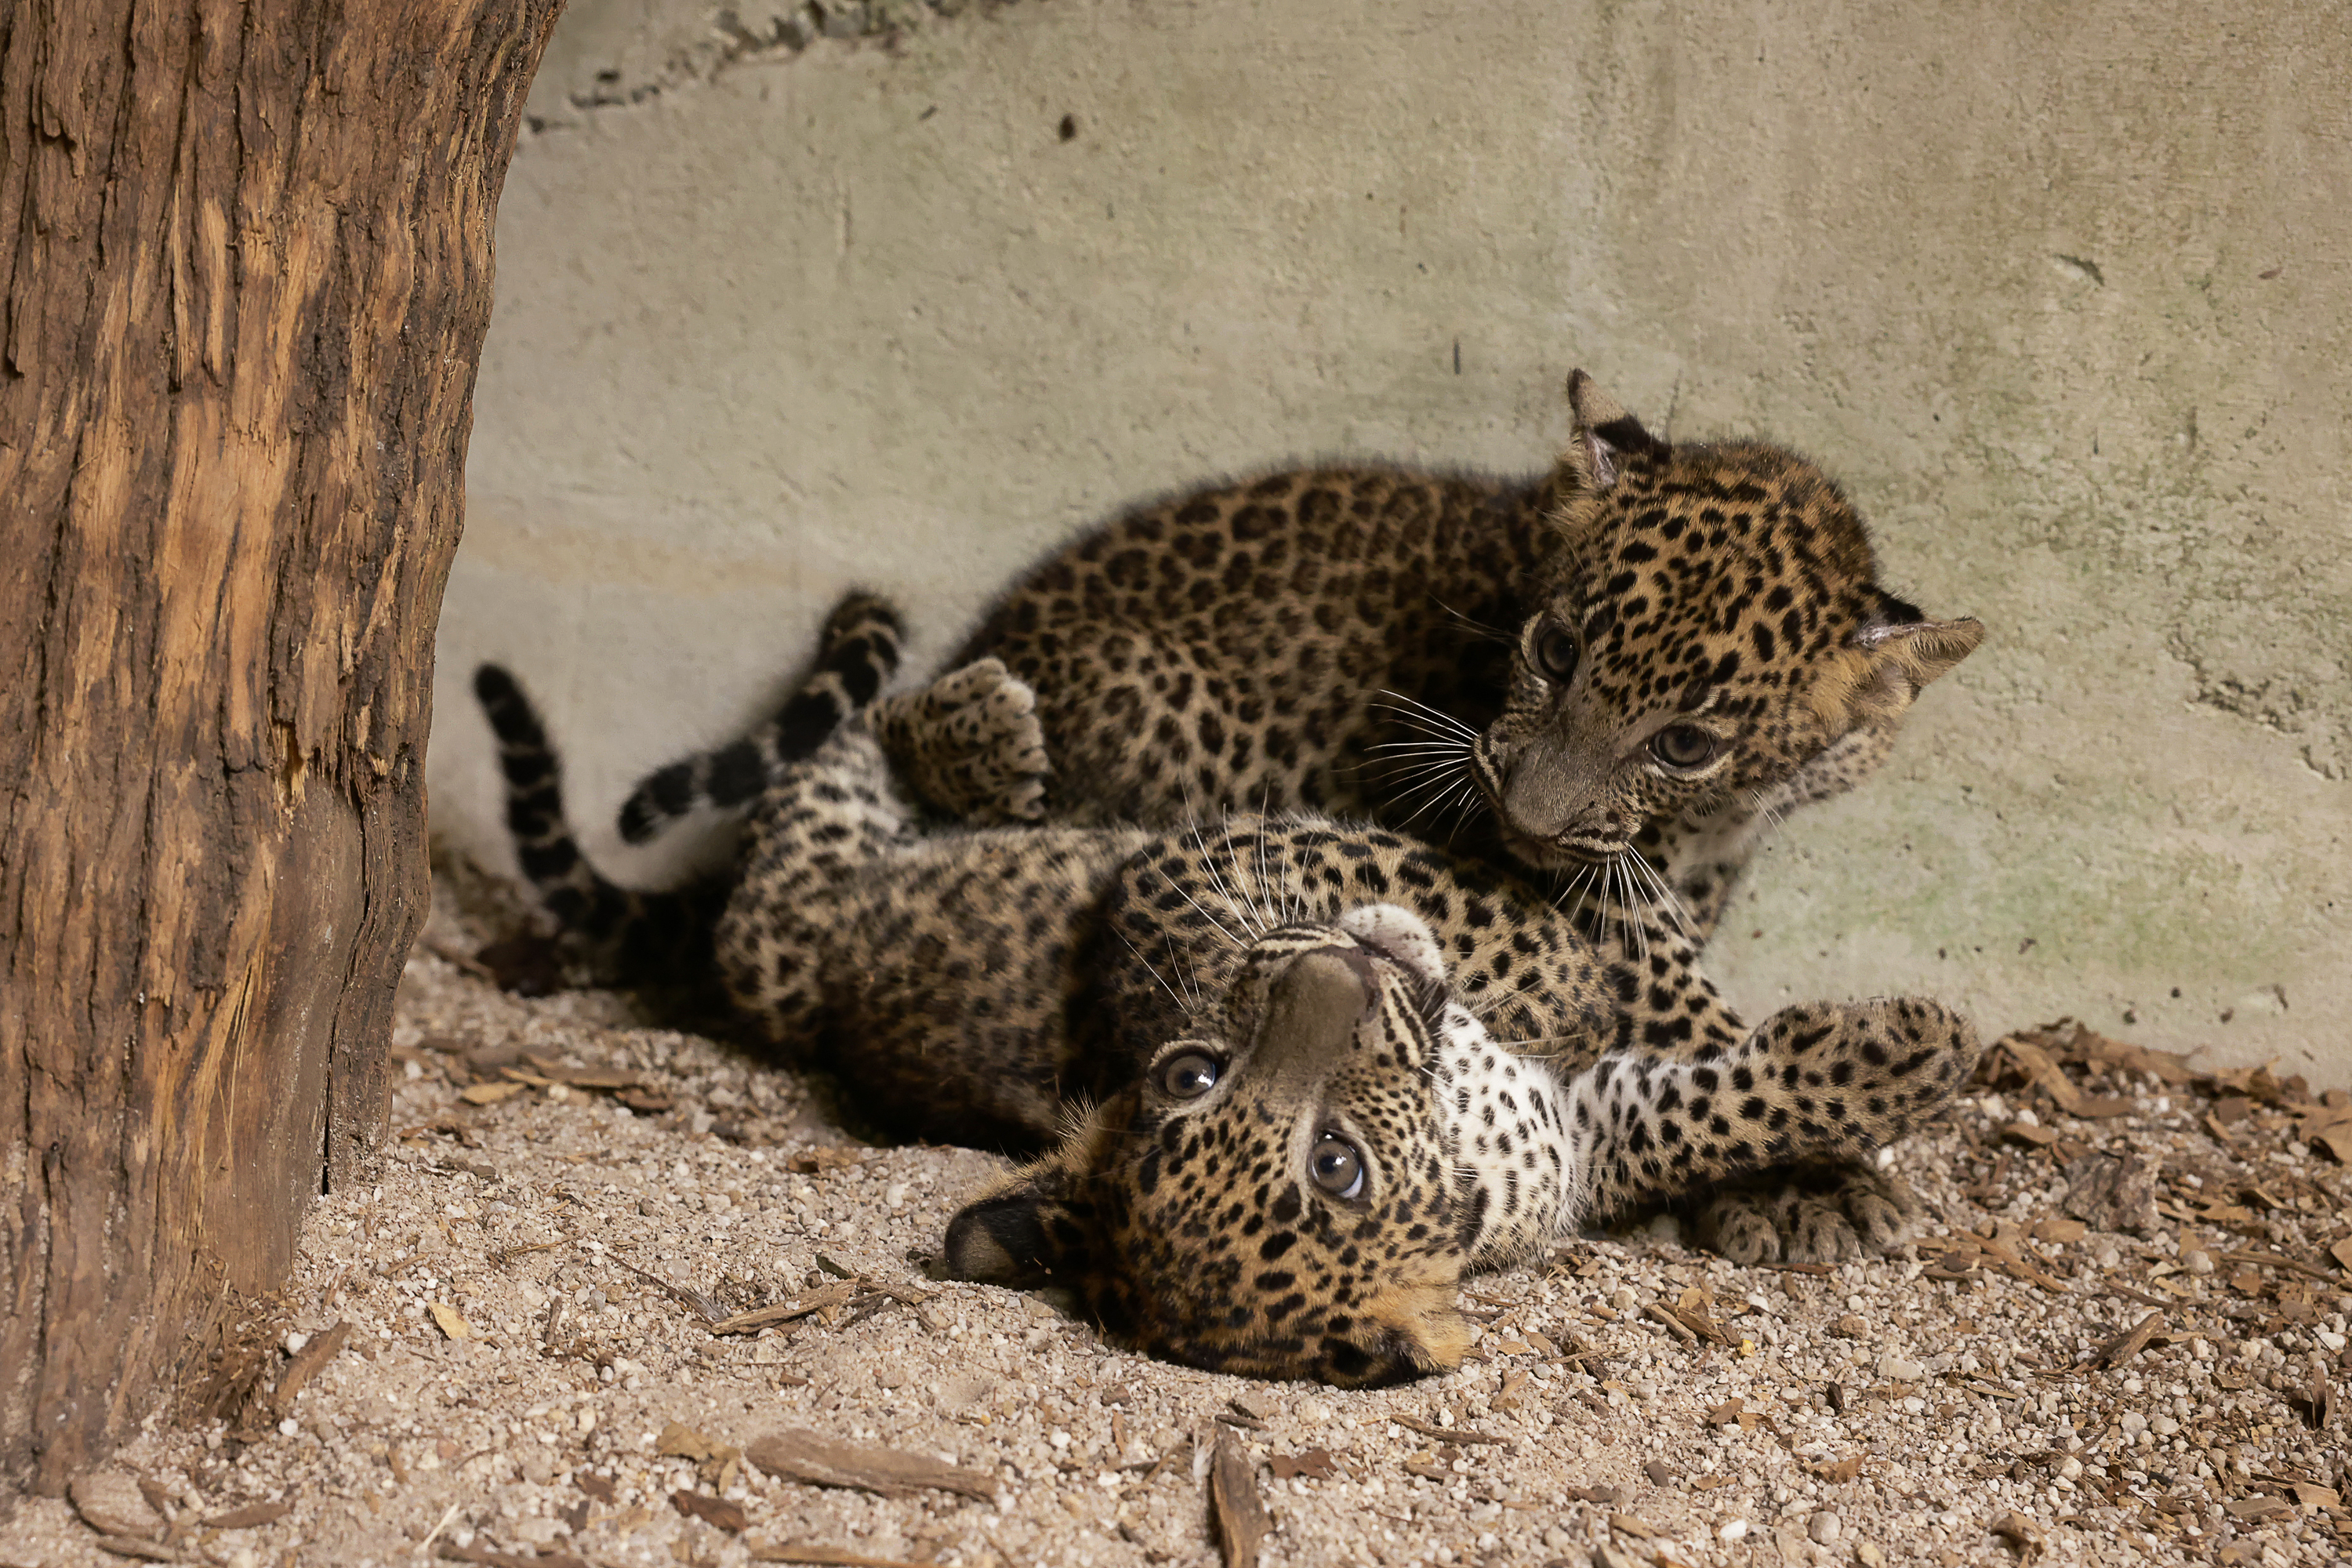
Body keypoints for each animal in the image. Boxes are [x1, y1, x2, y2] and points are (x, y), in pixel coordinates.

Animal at [475, 592, 1982, 1386]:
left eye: (1198, 1076)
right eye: (1334, 1169)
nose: (1336, 971)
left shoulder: (1588, 1122)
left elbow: (1696, 1084)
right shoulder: (1191, 874)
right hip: (790, 909)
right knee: (840, 750)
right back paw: (943, 694)